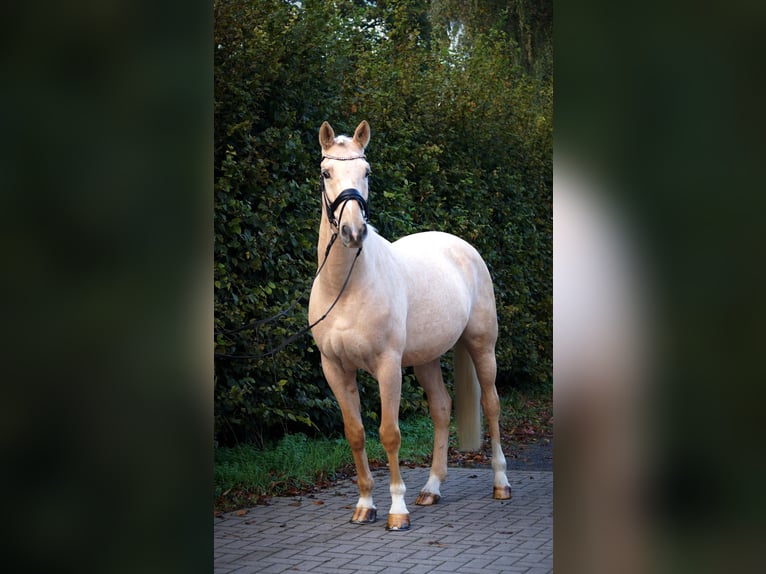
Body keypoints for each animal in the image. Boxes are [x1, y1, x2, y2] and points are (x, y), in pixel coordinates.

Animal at [308, 120, 512, 532]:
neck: (345, 287)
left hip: (482, 346)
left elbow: (389, 433)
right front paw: (365, 505)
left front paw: (397, 511)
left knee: (492, 404)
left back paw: (500, 484)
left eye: (367, 172)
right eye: (326, 173)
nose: (353, 231)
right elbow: (355, 434)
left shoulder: (388, 366)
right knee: (442, 409)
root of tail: (461, 246)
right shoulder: (335, 369)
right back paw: (431, 488)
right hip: (426, 359)